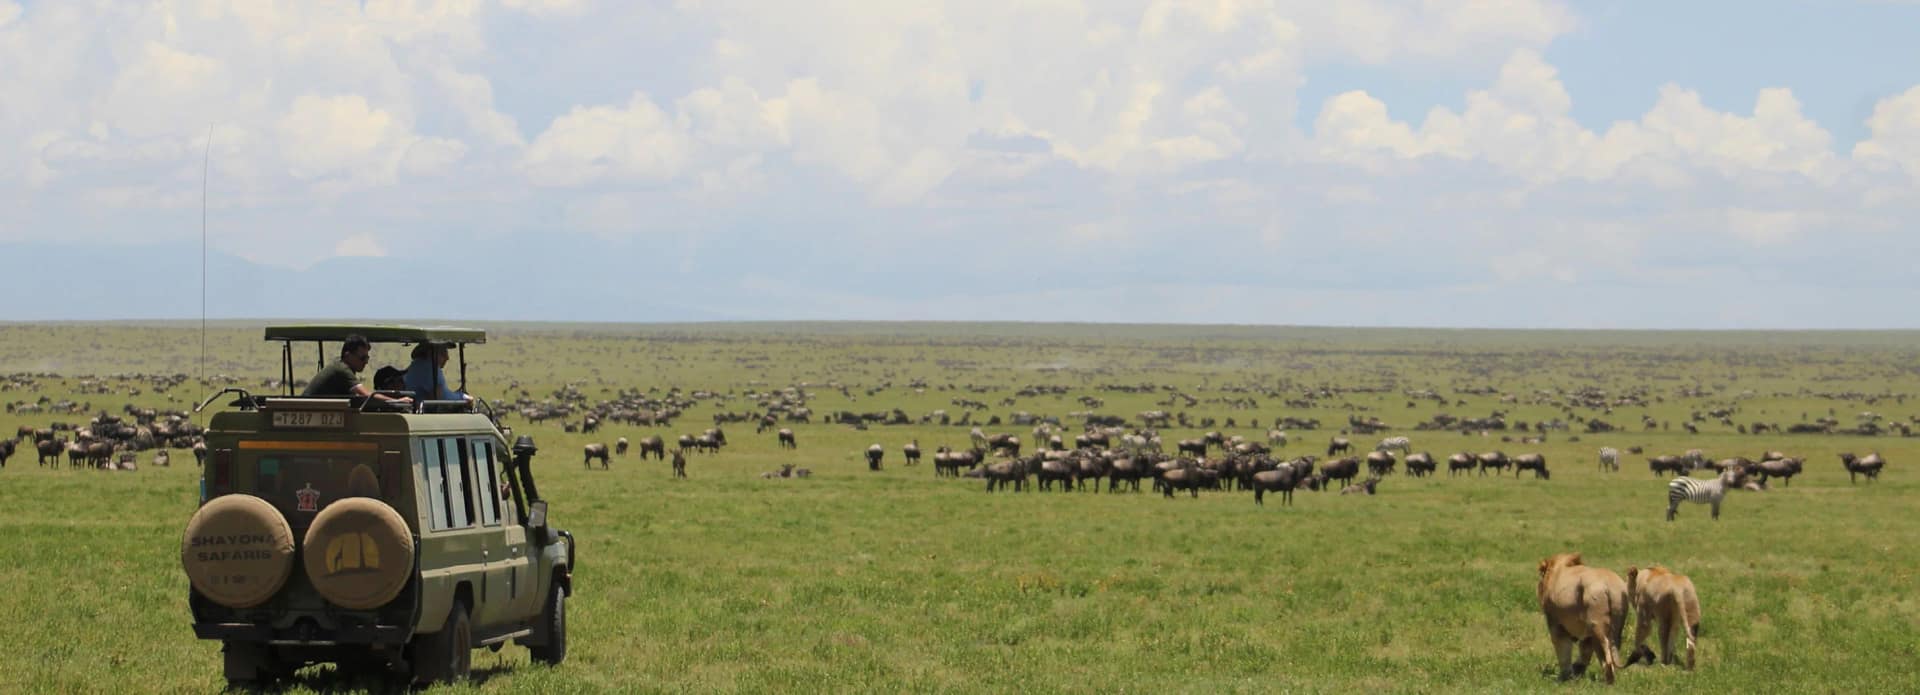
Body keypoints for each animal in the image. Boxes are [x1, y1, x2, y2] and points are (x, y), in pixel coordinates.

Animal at [1537, 553, 1628, 684]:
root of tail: (1609, 585)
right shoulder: (1587, 633)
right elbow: (1585, 651)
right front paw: (1577, 671)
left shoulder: (1555, 624)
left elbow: (1563, 651)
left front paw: (1564, 677)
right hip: (1614, 623)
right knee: (1612, 649)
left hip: (1596, 623)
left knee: (1606, 652)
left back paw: (1609, 679)